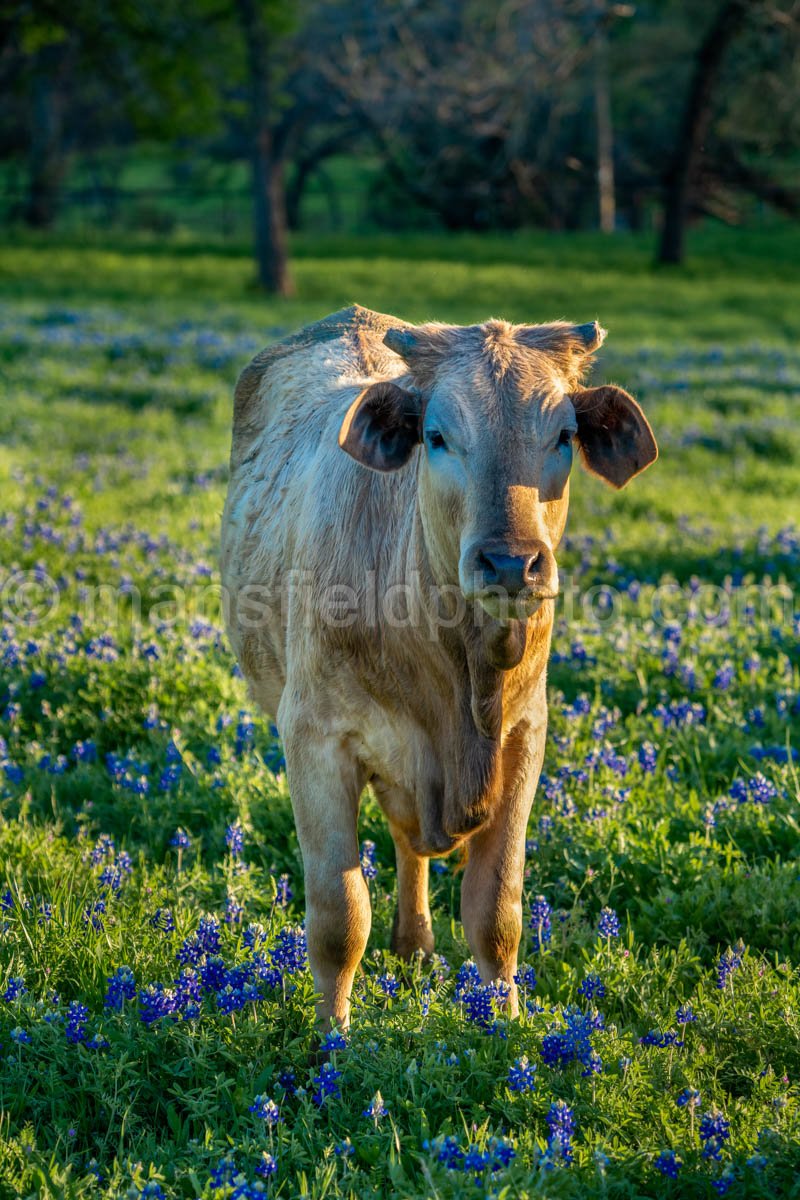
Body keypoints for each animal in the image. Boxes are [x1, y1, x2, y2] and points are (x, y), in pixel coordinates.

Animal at [220, 304, 657, 1027]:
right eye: (437, 436)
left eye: (565, 433)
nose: (510, 562)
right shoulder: (314, 738)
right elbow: (340, 917)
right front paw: (332, 1035)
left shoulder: (524, 736)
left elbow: (496, 911)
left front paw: (504, 1020)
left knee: (408, 840)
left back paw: (417, 946)